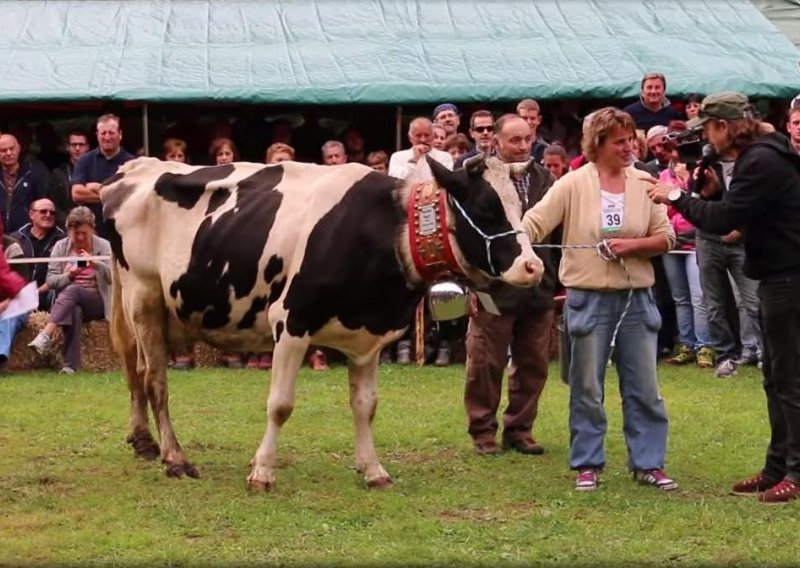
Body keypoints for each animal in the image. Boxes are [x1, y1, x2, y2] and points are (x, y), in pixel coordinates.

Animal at [100, 153, 544, 490]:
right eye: (487, 210)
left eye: (520, 206)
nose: (533, 266)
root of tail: (136, 167)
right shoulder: (291, 323)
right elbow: (280, 405)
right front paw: (262, 472)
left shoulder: (368, 339)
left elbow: (366, 406)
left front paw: (373, 469)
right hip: (143, 295)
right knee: (155, 379)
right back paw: (175, 457)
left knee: (134, 370)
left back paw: (144, 441)